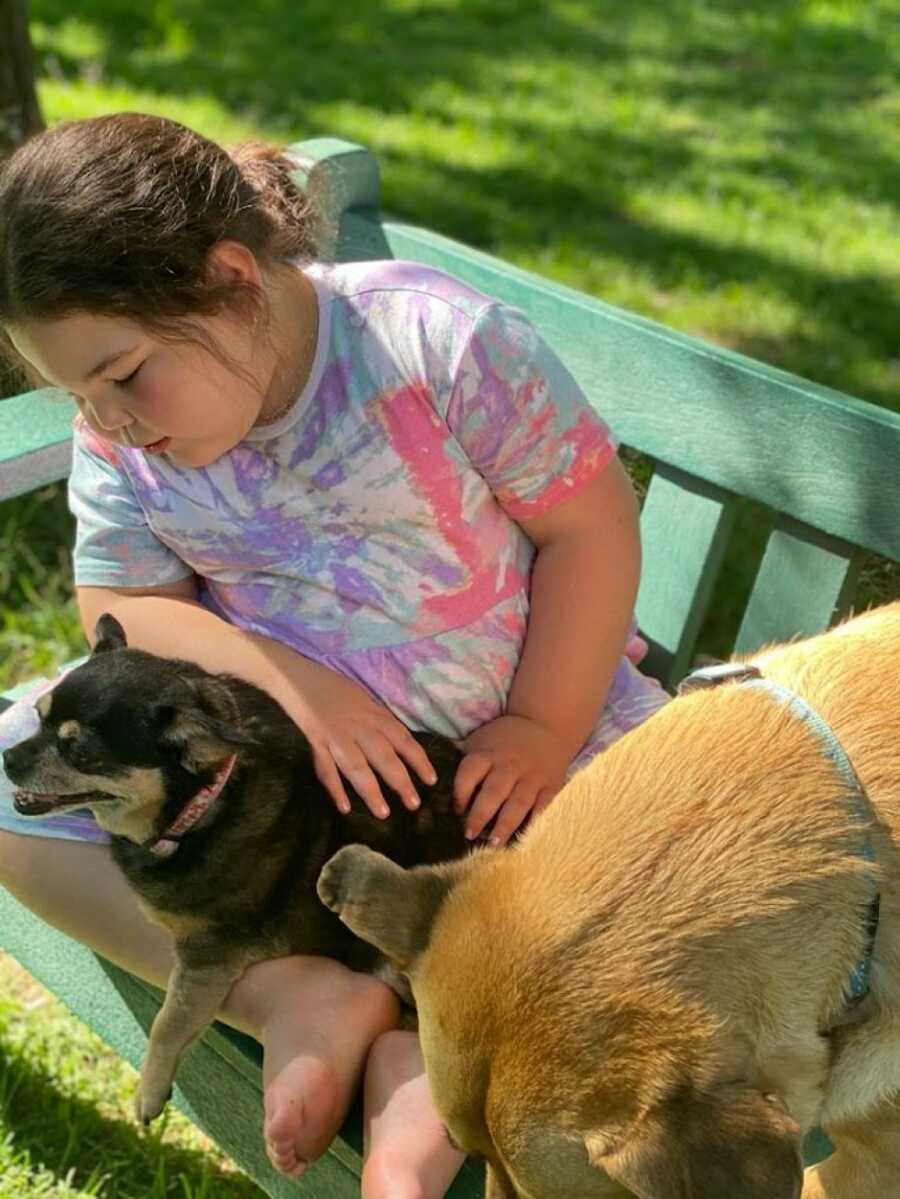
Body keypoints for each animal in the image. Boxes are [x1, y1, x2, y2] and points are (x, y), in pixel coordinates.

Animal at [5, 618, 472, 1122]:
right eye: (38, 718)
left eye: (80, 752)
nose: (7, 759)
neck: (204, 800)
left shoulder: (208, 955)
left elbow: (168, 1022)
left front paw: (150, 1089)